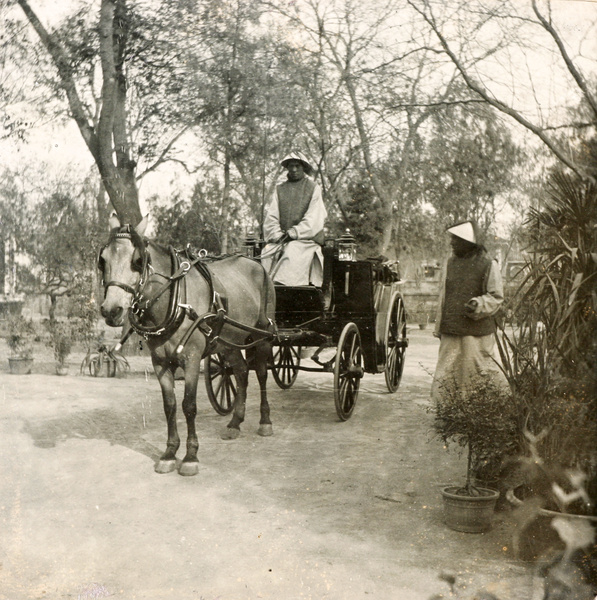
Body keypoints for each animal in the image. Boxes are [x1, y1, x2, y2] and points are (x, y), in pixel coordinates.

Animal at [98, 213, 274, 476]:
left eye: (138, 261)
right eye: (103, 260)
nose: (111, 310)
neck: (175, 301)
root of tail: (256, 262)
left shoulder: (191, 359)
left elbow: (189, 405)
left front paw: (191, 456)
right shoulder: (160, 362)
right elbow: (170, 405)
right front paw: (170, 453)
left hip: (262, 333)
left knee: (261, 373)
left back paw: (265, 421)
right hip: (229, 343)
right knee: (241, 372)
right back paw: (234, 423)